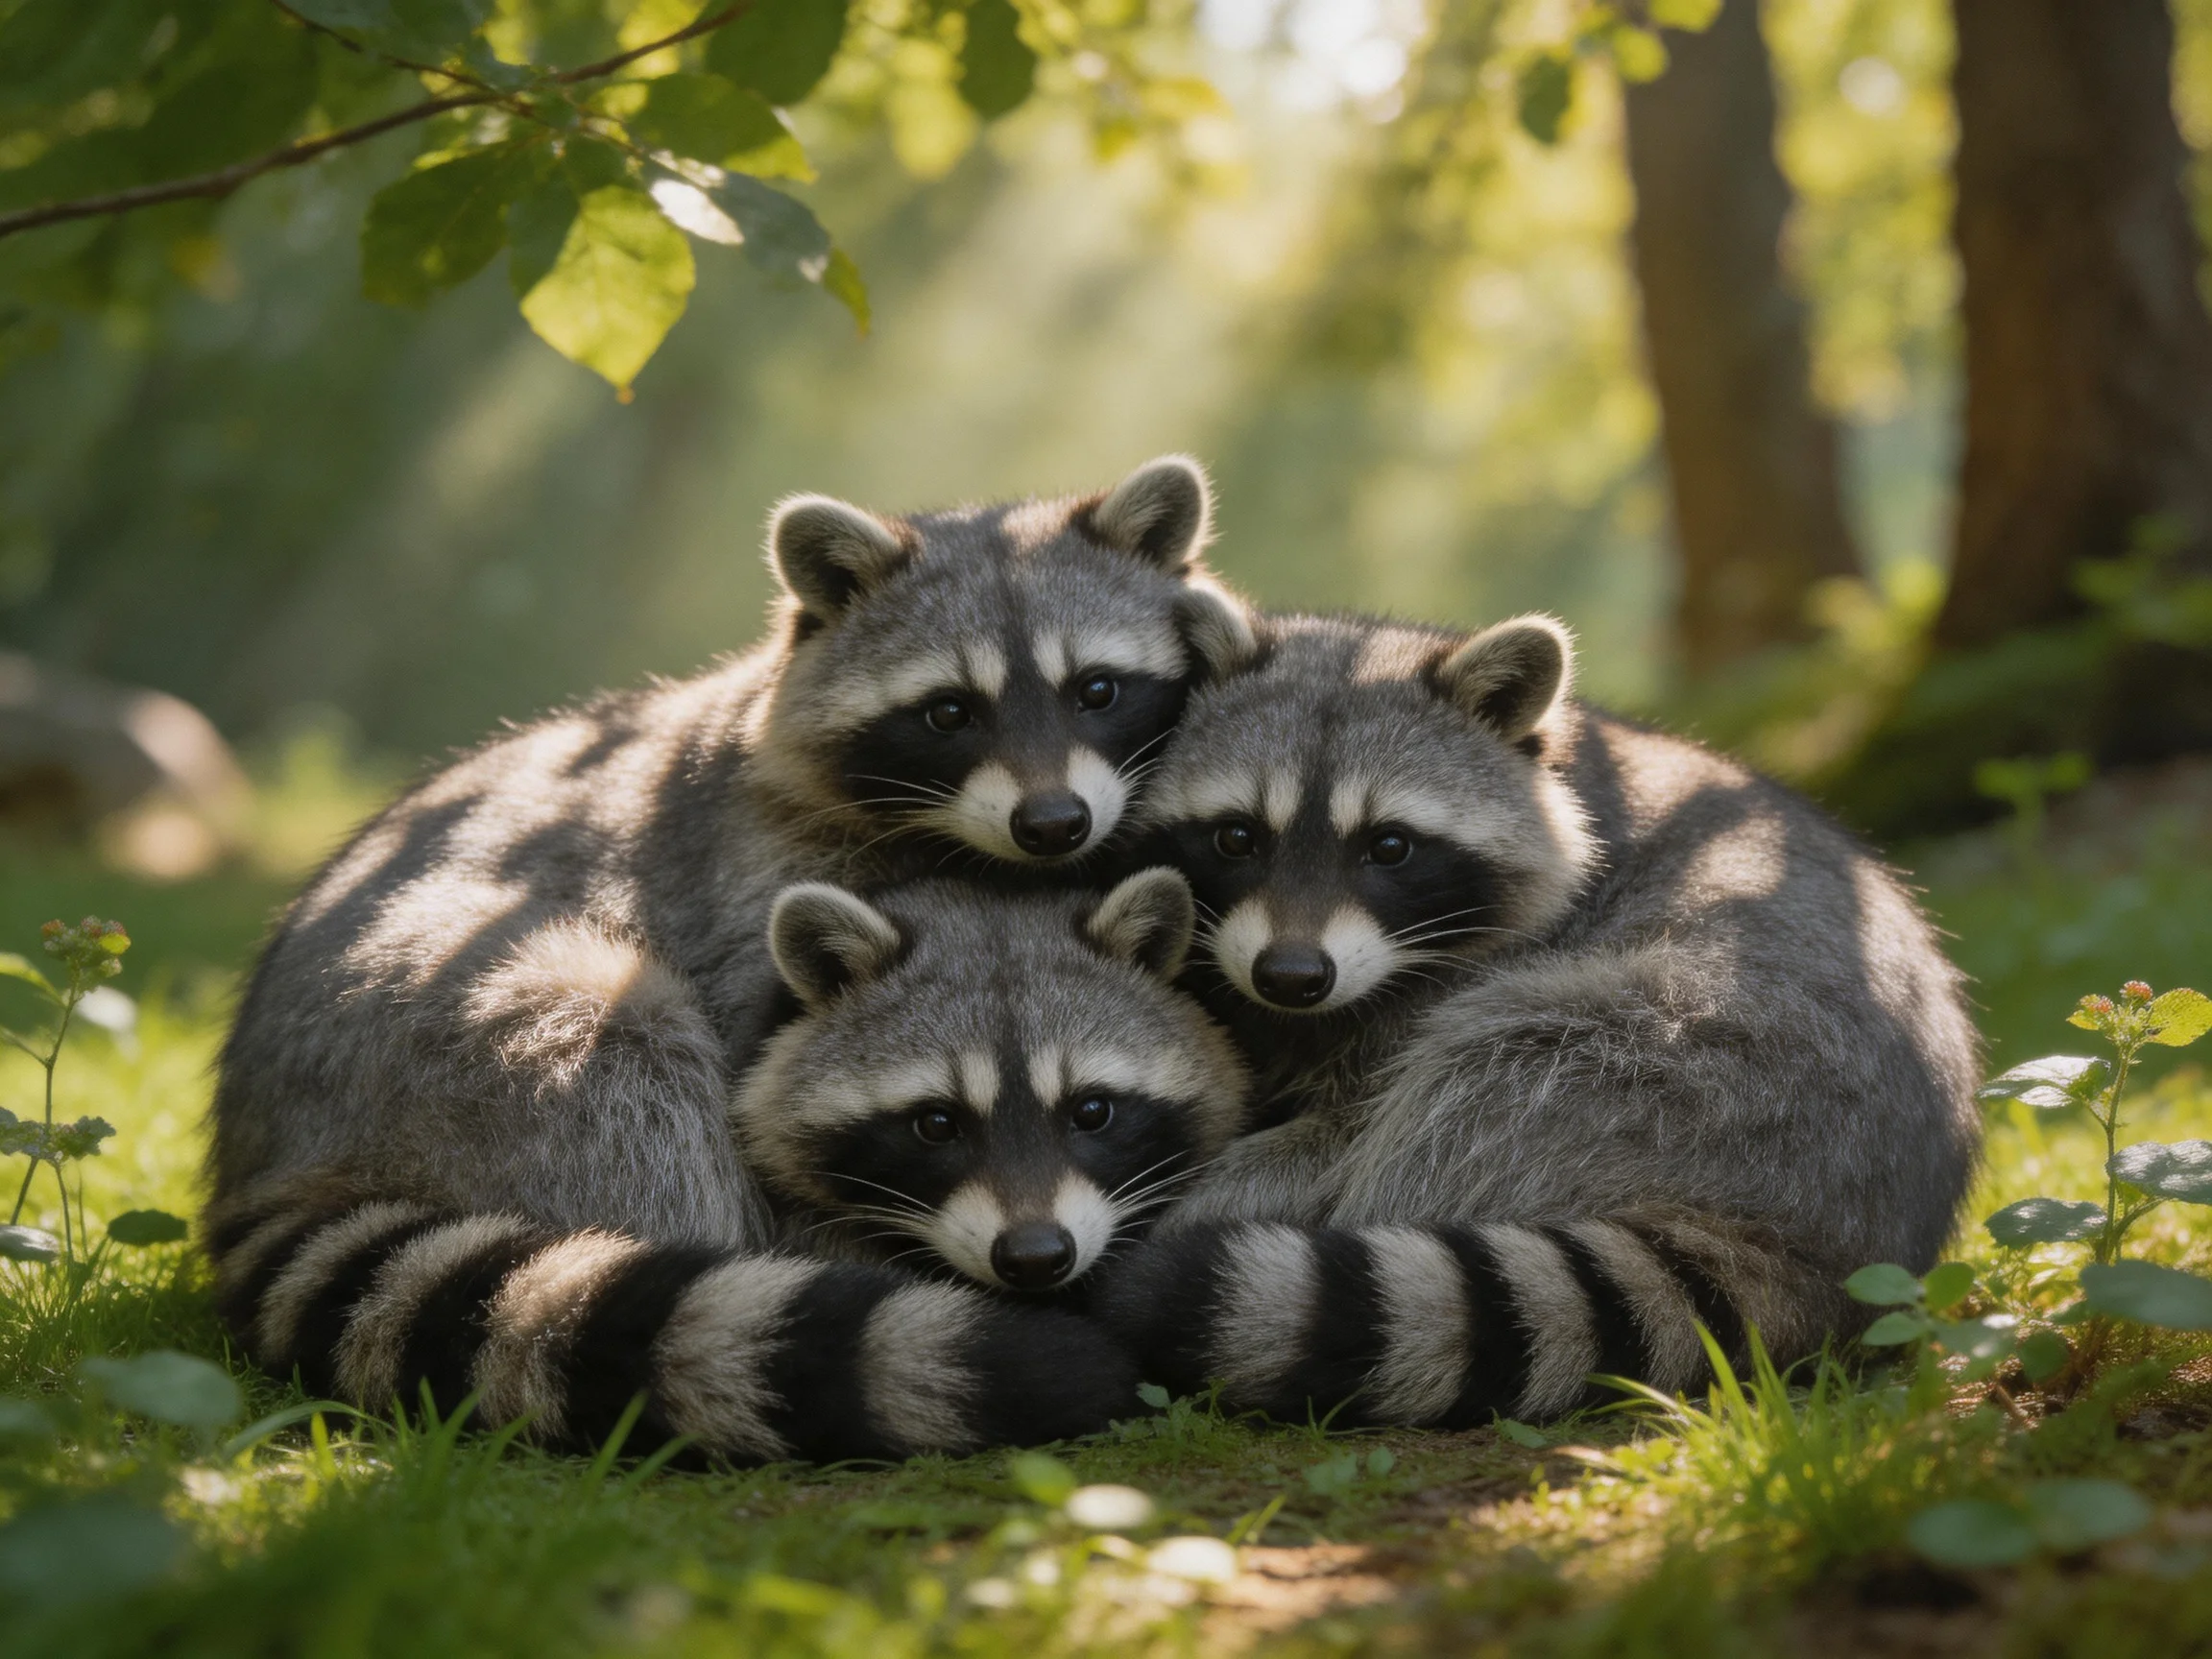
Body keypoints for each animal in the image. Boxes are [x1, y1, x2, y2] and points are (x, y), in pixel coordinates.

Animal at [1098, 612, 1983, 1425]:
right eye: (1237, 836)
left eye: (1389, 847)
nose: (1290, 976)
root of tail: (1840, 1247)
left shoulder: (1487, 969)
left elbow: (1341, 1140)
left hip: (1709, 1052)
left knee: (1473, 1087)